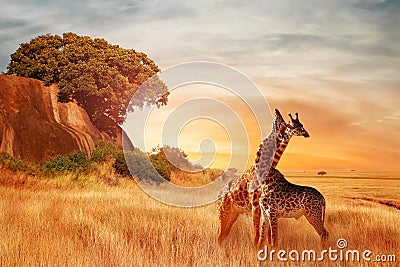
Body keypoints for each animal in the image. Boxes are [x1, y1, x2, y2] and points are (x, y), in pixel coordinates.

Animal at [217, 109, 308, 245]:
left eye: (301, 125)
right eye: (292, 124)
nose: (276, 110)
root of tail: (218, 193)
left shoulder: (265, 208)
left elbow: (268, 238)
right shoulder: (256, 206)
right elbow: (257, 236)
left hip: (234, 213)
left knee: (223, 235)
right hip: (223, 211)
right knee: (219, 235)